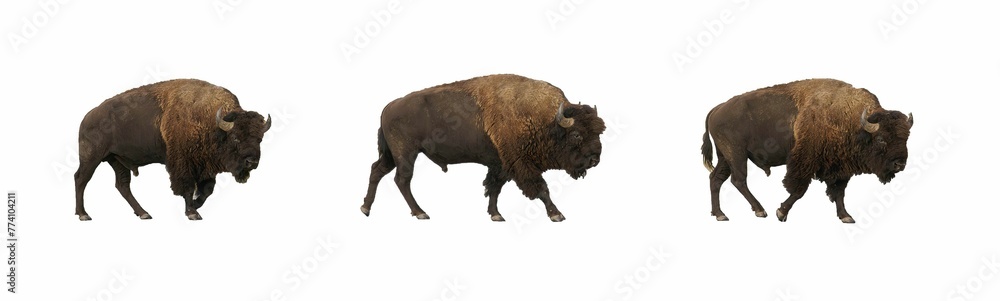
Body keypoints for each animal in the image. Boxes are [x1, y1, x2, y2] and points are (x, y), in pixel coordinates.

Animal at [73, 79, 274, 220]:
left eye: (259, 139)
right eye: (235, 138)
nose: (252, 161)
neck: (211, 122)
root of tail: (87, 118)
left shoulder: (206, 167)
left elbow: (206, 191)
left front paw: (195, 206)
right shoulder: (183, 163)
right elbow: (187, 187)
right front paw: (192, 212)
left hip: (117, 160)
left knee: (122, 185)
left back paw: (143, 213)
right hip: (91, 158)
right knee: (81, 179)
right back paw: (83, 214)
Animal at [362, 74, 604, 221]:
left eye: (599, 132)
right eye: (576, 135)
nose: (595, 160)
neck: (545, 120)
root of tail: (388, 107)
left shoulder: (501, 163)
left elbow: (494, 188)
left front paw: (496, 215)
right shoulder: (521, 164)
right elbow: (541, 188)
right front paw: (556, 214)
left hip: (392, 155)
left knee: (377, 171)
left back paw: (366, 208)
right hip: (406, 153)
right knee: (402, 180)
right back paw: (420, 213)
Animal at [704, 78, 916, 221]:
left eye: (906, 138)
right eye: (881, 139)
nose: (899, 164)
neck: (852, 121)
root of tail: (716, 109)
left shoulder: (841, 168)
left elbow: (839, 192)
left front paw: (845, 216)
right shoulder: (805, 162)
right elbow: (799, 190)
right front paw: (781, 213)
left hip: (726, 157)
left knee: (716, 179)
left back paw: (720, 214)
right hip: (736, 154)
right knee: (738, 180)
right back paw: (760, 210)